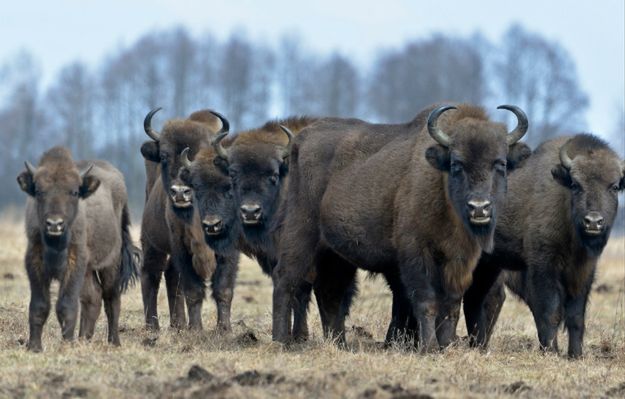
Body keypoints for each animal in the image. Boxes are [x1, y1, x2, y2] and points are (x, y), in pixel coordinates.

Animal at [17, 147, 139, 354]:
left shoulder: (75, 264)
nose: (54, 224)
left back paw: (113, 341)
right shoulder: (34, 261)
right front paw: (34, 347)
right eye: (39, 191)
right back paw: (83, 339)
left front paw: (66, 344)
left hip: (111, 264)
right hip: (89, 271)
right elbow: (39, 306)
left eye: (74, 192)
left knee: (111, 299)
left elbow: (66, 306)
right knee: (93, 298)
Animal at [138, 107, 238, 332]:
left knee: (171, 276)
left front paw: (224, 329)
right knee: (151, 273)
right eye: (164, 156)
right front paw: (196, 329)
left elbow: (223, 289)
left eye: (202, 155)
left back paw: (178, 324)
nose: (180, 192)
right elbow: (193, 290)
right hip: (152, 242)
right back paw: (152, 326)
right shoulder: (180, 246)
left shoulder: (229, 249)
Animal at [270, 103, 528, 350]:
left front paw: (446, 345)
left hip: (335, 255)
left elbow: (451, 305)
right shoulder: (416, 256)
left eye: (500, 164)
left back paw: (339, 344)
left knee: (330, 291)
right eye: (457, 164)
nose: (479, 208)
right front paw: (429, 347)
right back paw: (281, 340)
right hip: (301, 234)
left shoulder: (459, 262)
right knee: (286, 279)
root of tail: (300, 140)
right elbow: (426, 301)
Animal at [460, 134, 620, 360]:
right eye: (576, 185)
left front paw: (576, 355)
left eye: (614, 186)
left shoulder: (583, 272)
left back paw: (479, 346)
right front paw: (551, 351)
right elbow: (549, 312)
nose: (593, 221)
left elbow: (576, 317)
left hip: (488, 266)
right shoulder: (543, 267)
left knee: (477, 298)